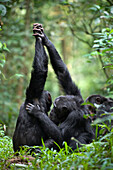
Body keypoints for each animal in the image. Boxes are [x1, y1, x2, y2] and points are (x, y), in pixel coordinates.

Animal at [13, 23, 63, 152]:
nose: (50, 106)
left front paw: (42, 36)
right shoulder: (34, 92)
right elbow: (40, 70)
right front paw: (39, 38)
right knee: (53, 141)